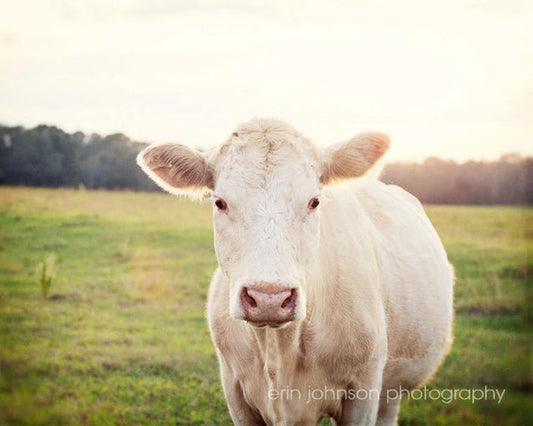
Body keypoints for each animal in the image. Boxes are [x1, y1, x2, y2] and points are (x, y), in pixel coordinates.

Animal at [137, 118, 454, 426]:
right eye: (219, 202)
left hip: (392, 391)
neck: (280, 350)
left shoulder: (363, 392)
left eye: (314, 201)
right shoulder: (236, 394)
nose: (269, 298)